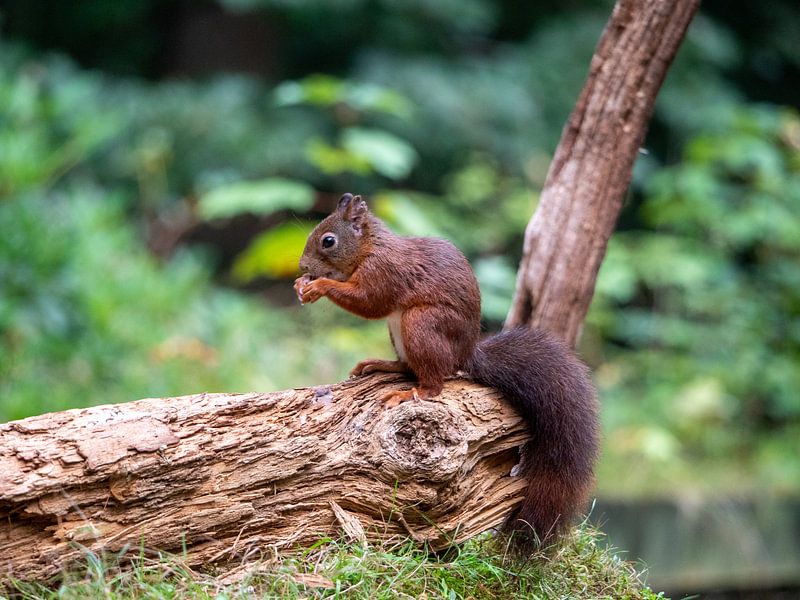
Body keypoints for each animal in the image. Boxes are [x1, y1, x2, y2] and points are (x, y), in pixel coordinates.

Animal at [296, 193, 600, 548]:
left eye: (328, 241)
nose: (303, 268)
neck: (369, 247)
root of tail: (466, 355)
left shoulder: (384, 271)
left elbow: (369, 301)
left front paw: (318, 286)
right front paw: (303, 285)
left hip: (422, 325)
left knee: (434, 382)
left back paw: (411, 393)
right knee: (407, 366)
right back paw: (380, 364)